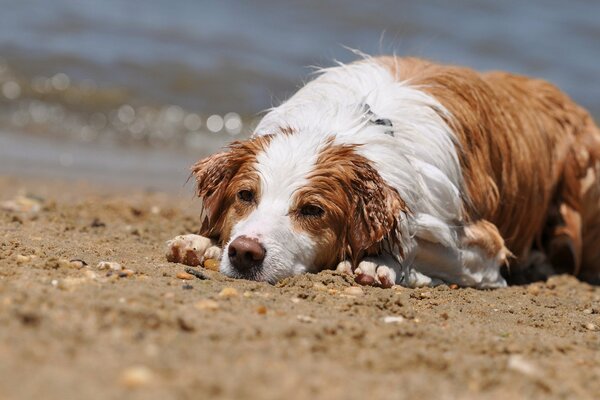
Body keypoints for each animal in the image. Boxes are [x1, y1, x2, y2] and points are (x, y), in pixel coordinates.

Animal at [166, 55, 600, 288]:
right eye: (245, 195)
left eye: (312, 210)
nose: (244, 253)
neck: (348, 127)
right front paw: (203, 243)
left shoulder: (485, 245)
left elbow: (415, 243)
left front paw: (380, 263)